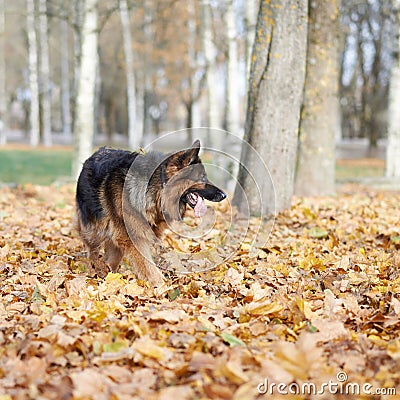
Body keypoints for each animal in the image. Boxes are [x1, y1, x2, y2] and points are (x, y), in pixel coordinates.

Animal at [75, 140, 225, 284]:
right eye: (203, 177)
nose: (224, 195)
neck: (157, 189)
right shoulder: (133, 238)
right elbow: (148, 266)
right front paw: (161, 285)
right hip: (92, 231)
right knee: (93, 251)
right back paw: (96, 268)